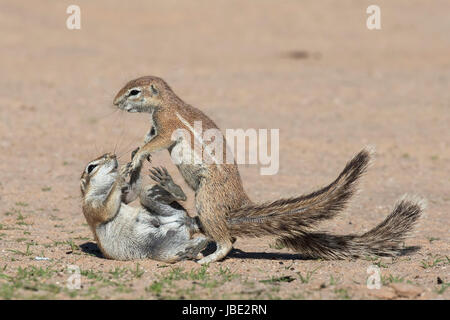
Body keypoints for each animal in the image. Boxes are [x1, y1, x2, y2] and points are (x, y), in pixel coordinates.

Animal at [113, 75, 426, 262]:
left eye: (134, 91)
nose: (114, 102)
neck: (166, 101)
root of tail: (237, 204)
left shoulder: (166, 125)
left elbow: (158, 141)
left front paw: (140, 155)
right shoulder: (154, 125)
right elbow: (147, 139)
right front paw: (136, 154)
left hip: (208, 199)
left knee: (225, 240)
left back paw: (210, 257)